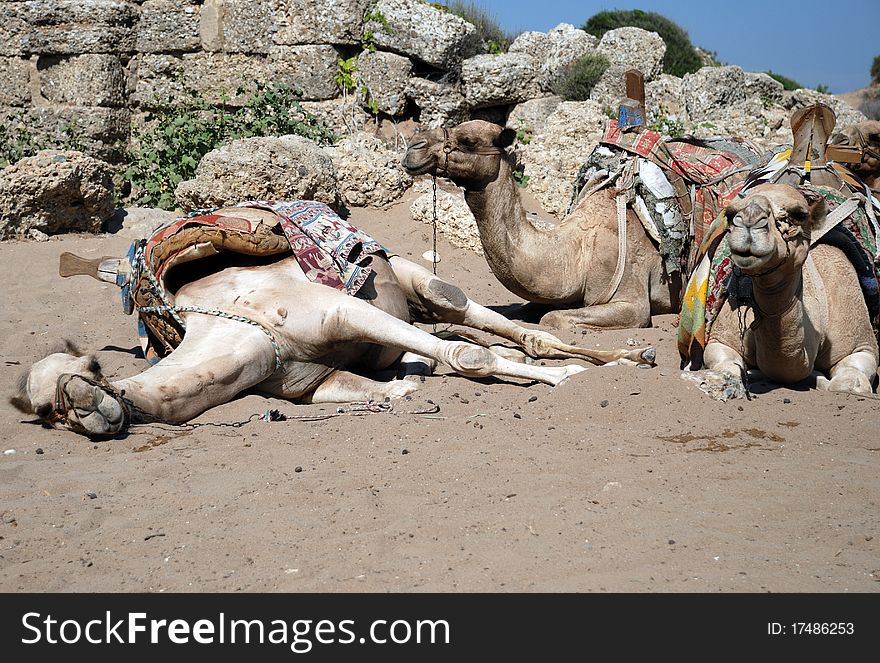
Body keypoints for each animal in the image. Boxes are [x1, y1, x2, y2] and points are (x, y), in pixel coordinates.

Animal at [10, 202, 648, 440]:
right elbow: (379, 385)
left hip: (415, 281)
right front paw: (403, 388)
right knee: (456, 335)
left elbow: (473, 357)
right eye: (43, 411)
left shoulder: (340, 308)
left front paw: (565, 380)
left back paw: (618, 358)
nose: (90, 410)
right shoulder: (311, 383)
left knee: (483, 319)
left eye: (89, 370)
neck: (245, 337)